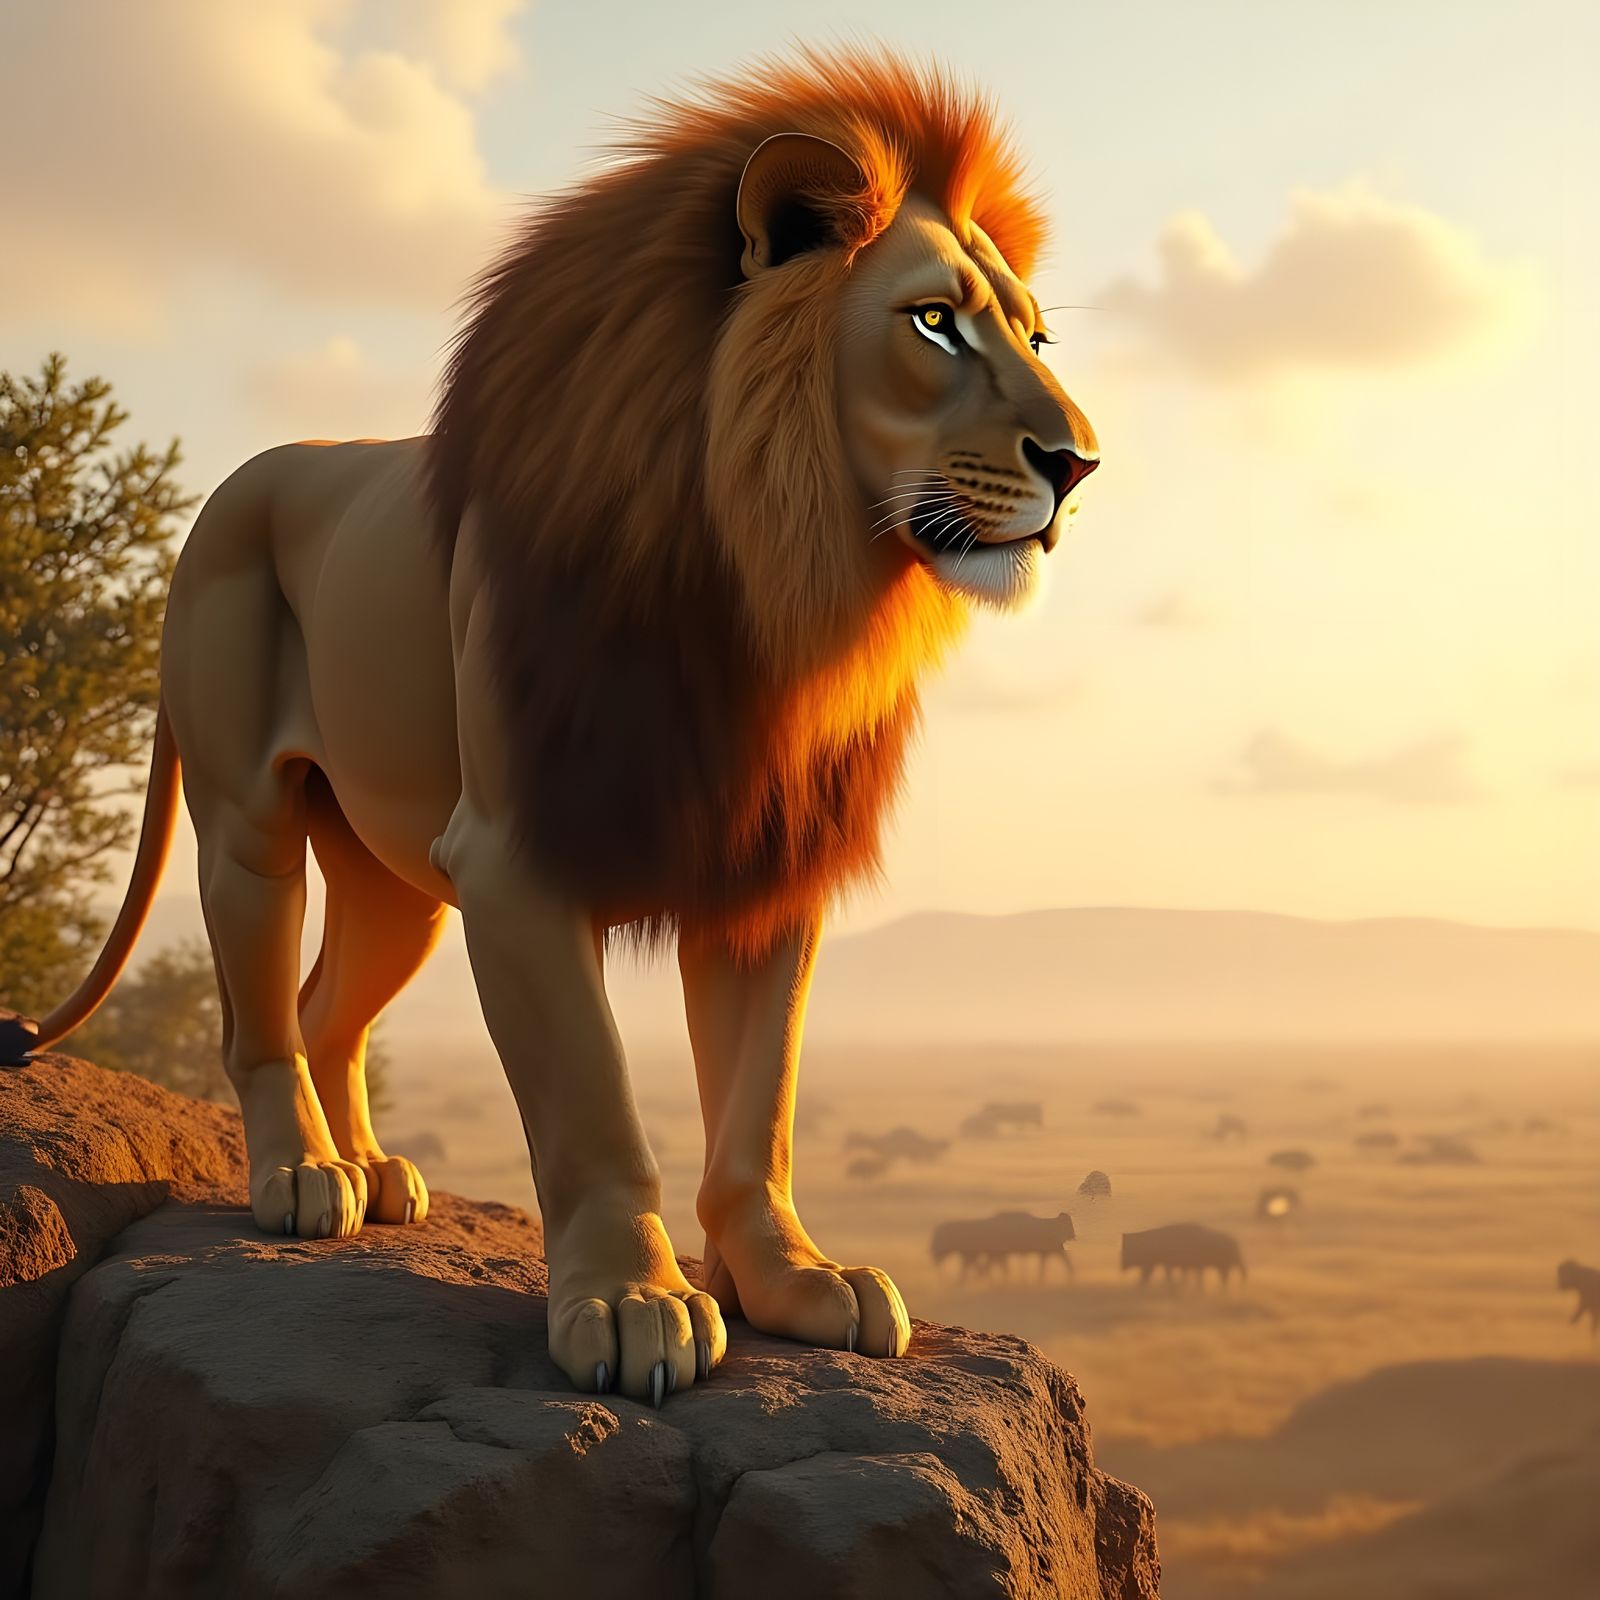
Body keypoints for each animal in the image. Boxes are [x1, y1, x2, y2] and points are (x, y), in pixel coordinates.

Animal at [0, 46, 1098, 1406]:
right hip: (251, 818)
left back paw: (374, 1173)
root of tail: (231, 486)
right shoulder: (515, 858)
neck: (775, 586)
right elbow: (593, 1100)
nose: (1078, 461)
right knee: (259, 1013)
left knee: (327, 1008)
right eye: (933, 321)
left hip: (396, 881)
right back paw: (302, 1176)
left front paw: (796, 1281)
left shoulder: (762, 865)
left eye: (1037, 335)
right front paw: (632, 1304)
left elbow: (759, 1107)